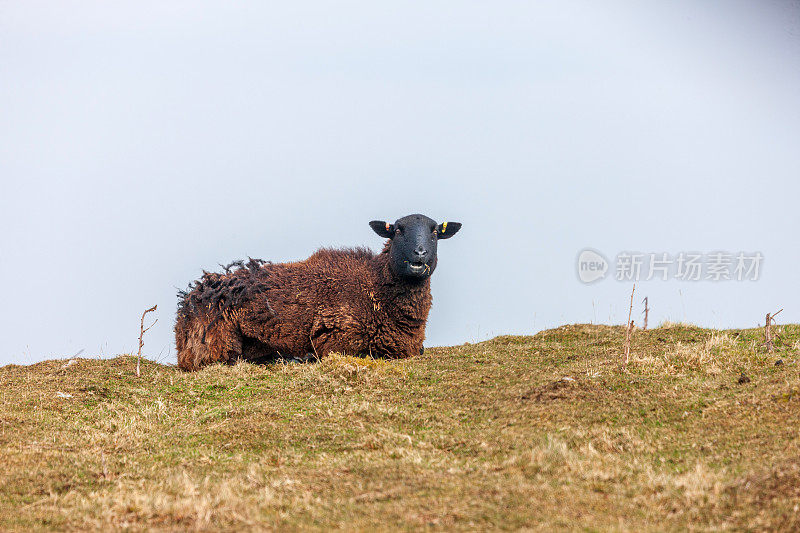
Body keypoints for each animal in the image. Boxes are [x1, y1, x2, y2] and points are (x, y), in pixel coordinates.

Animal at [175, 212, 462, 370]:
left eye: (435, 232)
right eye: (397, 230)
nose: (419, 254)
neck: (375, 286)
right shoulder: (337, 338)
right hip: (218, 343)